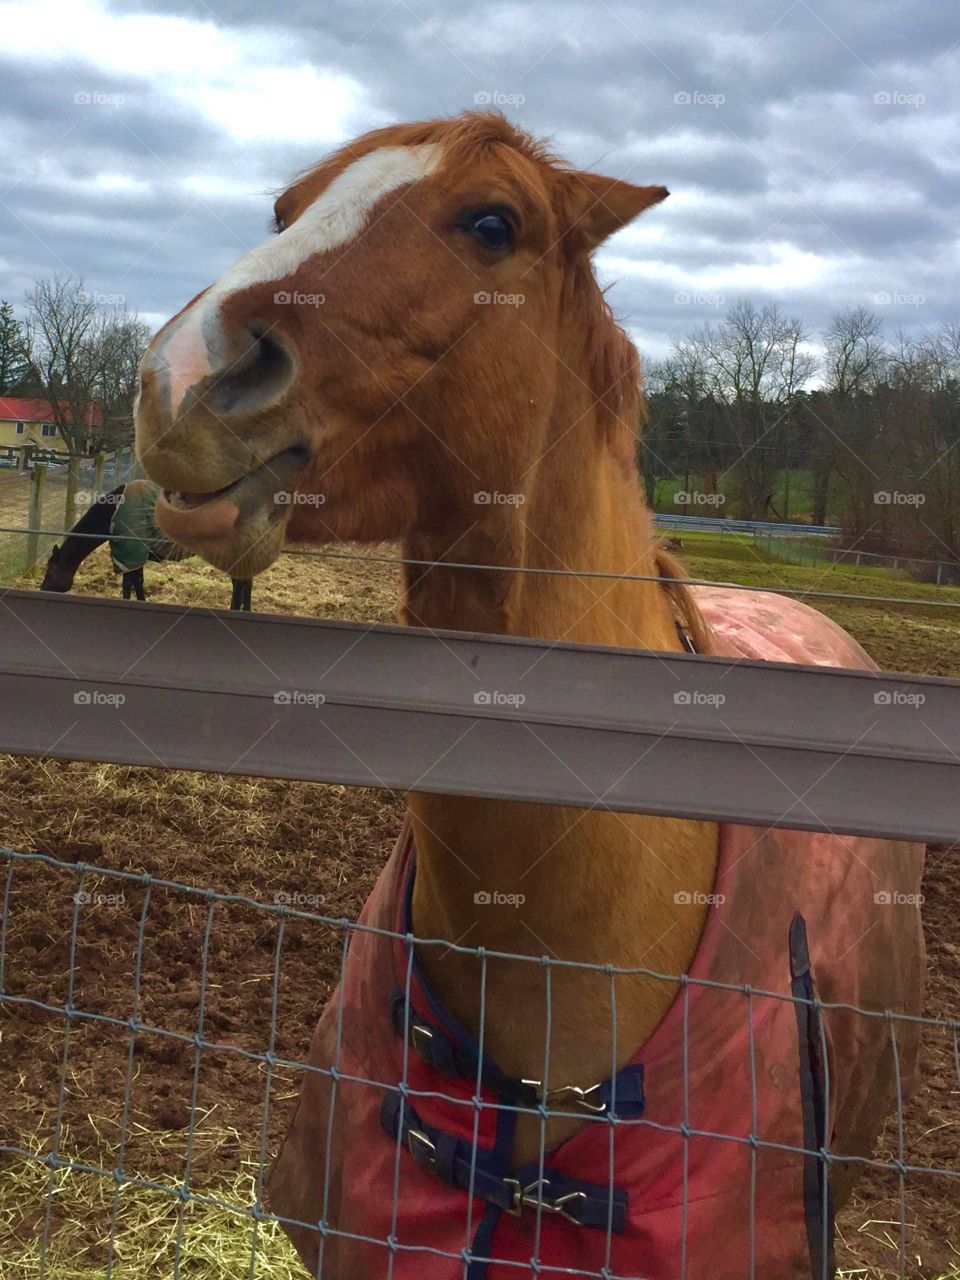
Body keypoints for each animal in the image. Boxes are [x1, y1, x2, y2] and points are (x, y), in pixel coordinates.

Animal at [40, 478, 253, 609]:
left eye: (50, 572)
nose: (42, 589)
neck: (113, 511)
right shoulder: (131, 556)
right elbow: (135, 583)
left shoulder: (131, 552)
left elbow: (130, 584)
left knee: (241, 583)